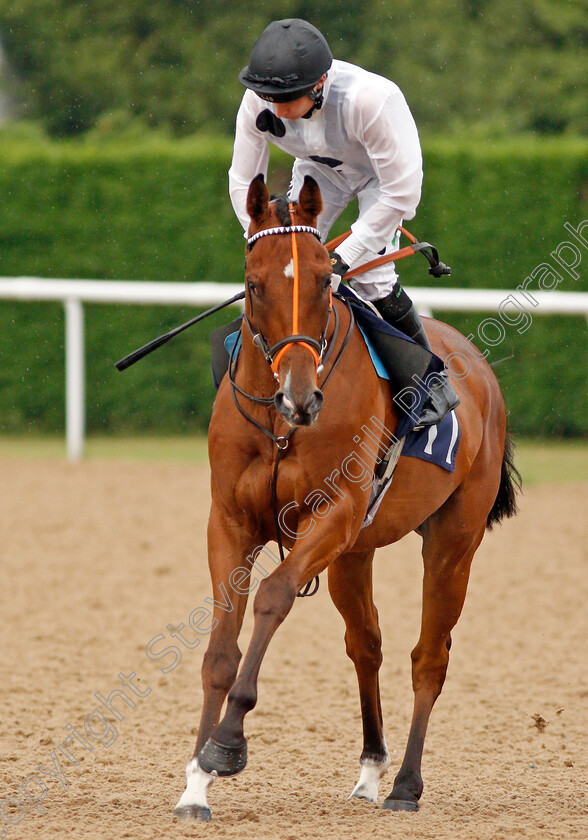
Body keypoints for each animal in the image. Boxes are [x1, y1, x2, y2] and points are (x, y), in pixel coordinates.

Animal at [173, 172, 520, 820]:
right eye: (254, 285)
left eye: (320, 281)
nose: (300, 398)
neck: (280, 427)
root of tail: (479, 366)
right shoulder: (230, 521)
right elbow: (219, 650)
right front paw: (194, 783)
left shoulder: (333, 514)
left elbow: (273, 597)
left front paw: (227, 744)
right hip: (355, 554)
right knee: (367, 644)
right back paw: (370, 772)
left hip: (452, 541)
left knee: (429, 657)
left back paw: (406, 785)